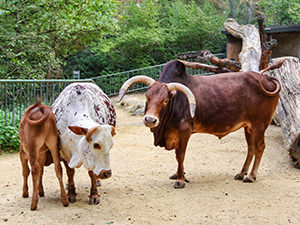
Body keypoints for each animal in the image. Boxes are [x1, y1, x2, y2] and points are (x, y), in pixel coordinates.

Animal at [117, 59, 284, 188]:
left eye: (165, 100)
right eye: (147, 96)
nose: (150, 120)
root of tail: (266, 78)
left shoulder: (185, 131)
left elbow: (180, 155)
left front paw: (180, 180)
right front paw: (179, 174)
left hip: (260, 125)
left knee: (260, 147)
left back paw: (251, 176)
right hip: (248, 127)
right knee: (251, 148)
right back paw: (242, 173)